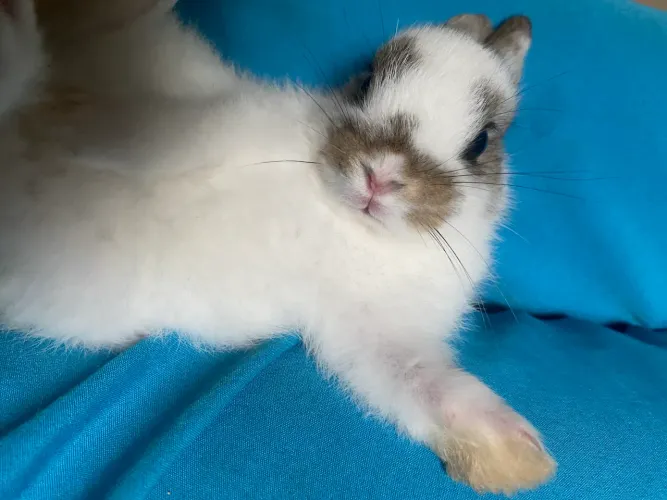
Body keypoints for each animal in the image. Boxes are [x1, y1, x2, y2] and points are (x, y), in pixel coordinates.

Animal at [0, 0, 554, 494]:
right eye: (367, 81)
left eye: (480, 143)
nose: (380, 174)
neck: (341, 219)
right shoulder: (213, 112)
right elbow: (172, 132)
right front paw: (106, 144)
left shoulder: (372, 331)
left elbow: (430, 385)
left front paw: (522, 455)